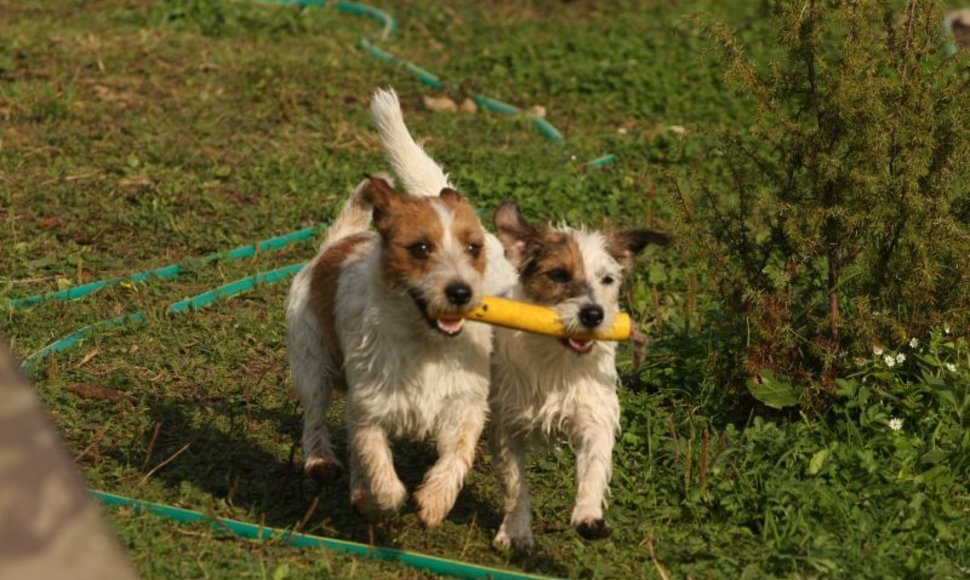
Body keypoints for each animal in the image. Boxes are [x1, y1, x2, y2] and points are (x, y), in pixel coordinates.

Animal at [284, 87, 510, 524]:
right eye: (420, 249)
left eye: (472, 248)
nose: (461, 292)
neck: (426, 344)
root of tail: (336, 243)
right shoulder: (370, 405)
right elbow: (374, 458)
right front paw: (383, 498)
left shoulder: (464, 404)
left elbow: (457, 454)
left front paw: (435, 499)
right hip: (312, 362)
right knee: (315, 418)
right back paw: (323, 463)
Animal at [488, 202, 668, 552]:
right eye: (558, 275)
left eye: (607, 279)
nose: (593, 314)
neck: (556, 361)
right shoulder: (506, 425)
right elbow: (515, 483)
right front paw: (516, 529)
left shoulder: (594, 417)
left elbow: (594, 471)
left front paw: (588, 515)